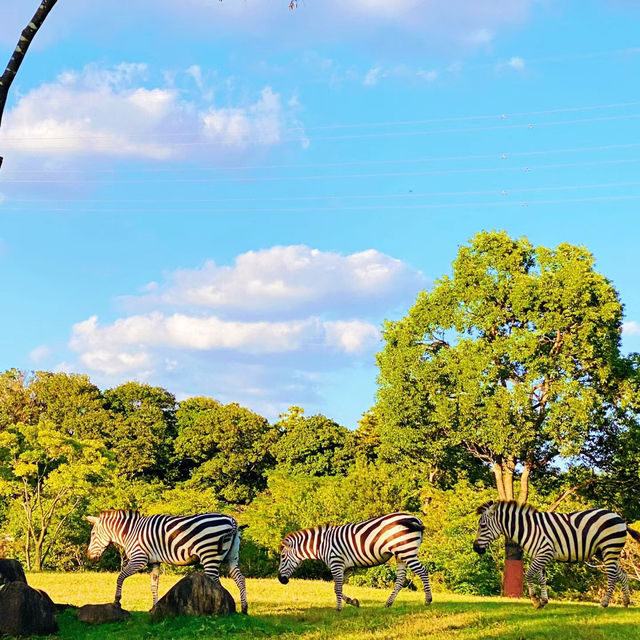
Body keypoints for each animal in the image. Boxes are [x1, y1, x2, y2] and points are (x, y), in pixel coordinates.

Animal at [85, 512, 245, 612]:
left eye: (92, 534)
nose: (89, 557)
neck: (130, 532)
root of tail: (231, 520)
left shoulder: (139, 559)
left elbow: (120, 577)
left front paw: (117, 601)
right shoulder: (153, 562)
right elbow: (154, 586)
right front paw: (154, 607)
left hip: (209, 555)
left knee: (217, 584)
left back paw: (220, 612)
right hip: (231, 558)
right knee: (240, 579)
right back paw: (244, 609)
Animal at [276, 510, 430, 608]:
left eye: (282, 557)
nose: (280, 579)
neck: (322, 544)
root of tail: (415, 518)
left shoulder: (336, 563)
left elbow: (338, 587)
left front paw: (338, 609)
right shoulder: (348, 567)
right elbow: (336, 587)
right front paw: (353, 602)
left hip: (407, 551)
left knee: (423, 572)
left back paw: (428, 600)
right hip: (401, 554)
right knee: (400, 579)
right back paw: (388, 603)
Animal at [472, 500, 640, 608]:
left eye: (483, 525)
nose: (475, 548)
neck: (529, 528)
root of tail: (619, 518)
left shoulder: (545, 552)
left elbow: (529, 574)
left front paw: (534, 599)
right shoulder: (539, 554)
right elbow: (541, 578)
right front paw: (543, 601)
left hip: (609, 548)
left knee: (612, 576)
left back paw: (604, 603)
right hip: (605, 552)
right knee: (622, 575)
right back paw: (626, 603)